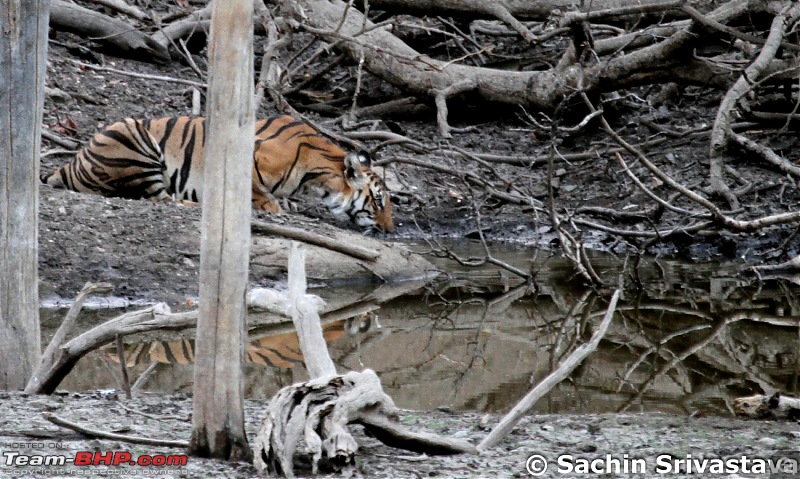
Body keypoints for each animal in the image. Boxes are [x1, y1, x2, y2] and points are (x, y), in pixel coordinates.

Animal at [39, 115, 396, 233]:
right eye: (378, 201)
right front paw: (271, 205)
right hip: (131, 135)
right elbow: (257, 190)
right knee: (161, 198)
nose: (389, 230)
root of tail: (70, 162)